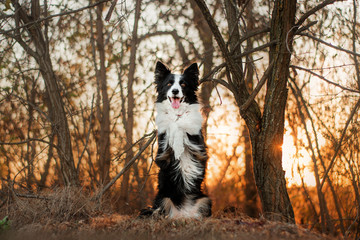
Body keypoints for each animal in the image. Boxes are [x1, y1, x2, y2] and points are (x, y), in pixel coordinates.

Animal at [140, 61, 212, 218]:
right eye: (169, 84)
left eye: (183, 84)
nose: (175, 91)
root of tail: (182, 214)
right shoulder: (163, 144)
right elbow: (172, 126)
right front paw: (178, 149)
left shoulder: (196, 140)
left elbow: (184, 125)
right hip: (162, 199)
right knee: (158, 211)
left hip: (205, 200)